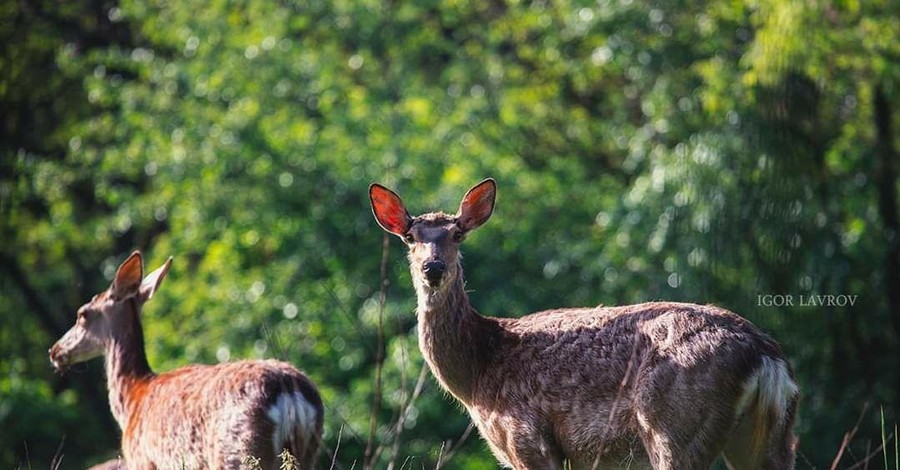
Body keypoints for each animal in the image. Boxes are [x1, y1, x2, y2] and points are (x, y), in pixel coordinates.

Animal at [48, 253, 324, 470]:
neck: (133, 397)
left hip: (239, 451)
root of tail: (291, 392)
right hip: (308, 451)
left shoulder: (144, 461)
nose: (55, 351)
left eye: (82, 314)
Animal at [370, 179, 800, 470]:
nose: (434, 267)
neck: (479, 371)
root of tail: (767, 357)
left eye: (458, 233)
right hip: (771, 435)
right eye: (410, 237)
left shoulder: (528, 437)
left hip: (675, 425)